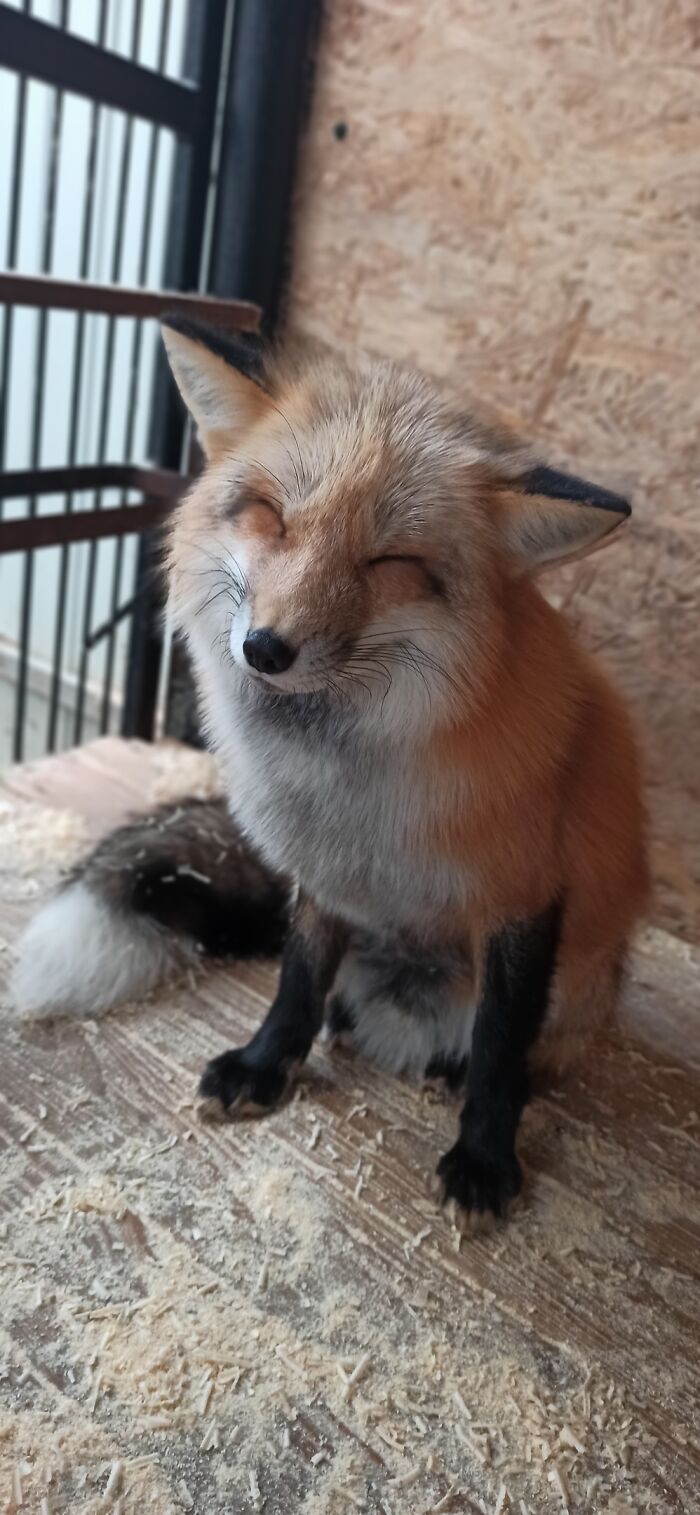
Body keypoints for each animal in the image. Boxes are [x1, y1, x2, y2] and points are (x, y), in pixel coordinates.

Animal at [13, 316, 649, 1227]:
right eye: (272, 515)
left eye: (389, 561)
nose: (265, 648)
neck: (347, 784)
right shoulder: (321, 873)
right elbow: (296, 981)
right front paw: (266, 1065)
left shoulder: (525, 893)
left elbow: (500, 1044)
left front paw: (485, 1157)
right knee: (336, 996)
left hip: (579, 987)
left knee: (515, 1043)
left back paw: (448, 1066)